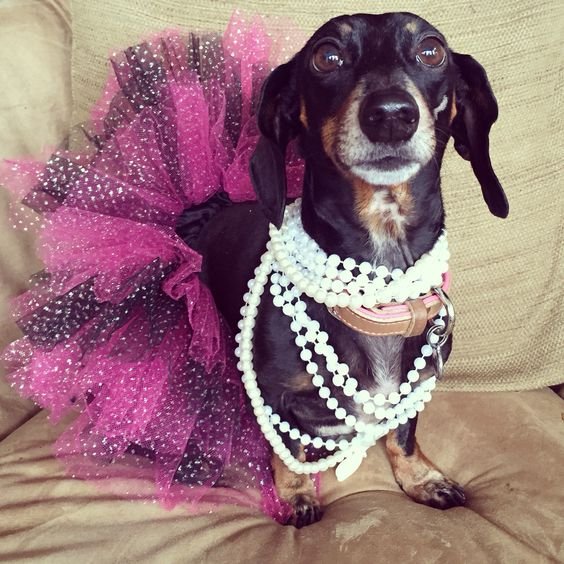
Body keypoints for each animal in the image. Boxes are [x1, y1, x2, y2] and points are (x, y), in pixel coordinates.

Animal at [197, 11, 506, 528]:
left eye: (431, 51)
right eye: (327, 56)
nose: (392, 114)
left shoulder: (415, 386)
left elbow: (404, 436)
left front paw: (421, 478)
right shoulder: (275, 397)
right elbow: (287, 450)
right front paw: (297, 495)